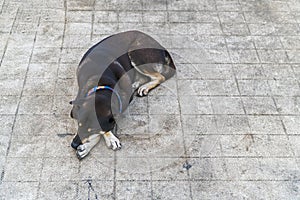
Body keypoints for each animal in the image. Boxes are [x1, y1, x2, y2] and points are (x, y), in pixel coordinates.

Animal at [68, 30, 176, 159]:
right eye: (78, 125)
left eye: (92, 130)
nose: (73, 145)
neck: (101, 84)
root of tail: (161, 47)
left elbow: (103, 130)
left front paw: (105, 140)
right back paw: (137, 85)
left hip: (135, 53)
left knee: (160, 76)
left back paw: (144, 87)